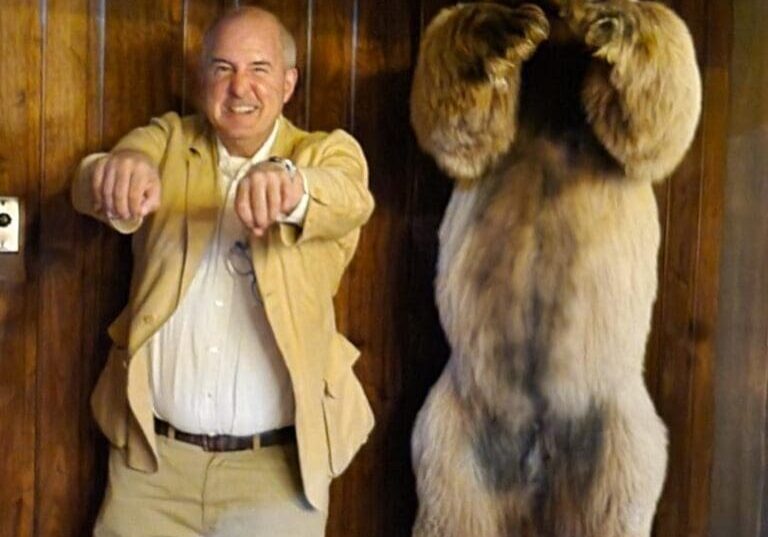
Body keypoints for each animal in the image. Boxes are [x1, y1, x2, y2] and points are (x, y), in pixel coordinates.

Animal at [408, 1, 704, 536]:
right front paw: (509, 27)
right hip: (450, 431)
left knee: (615, 506)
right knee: (454, 509)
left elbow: (657, 121)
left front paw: (604, 18)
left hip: (618, 432)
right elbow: (456, 125)